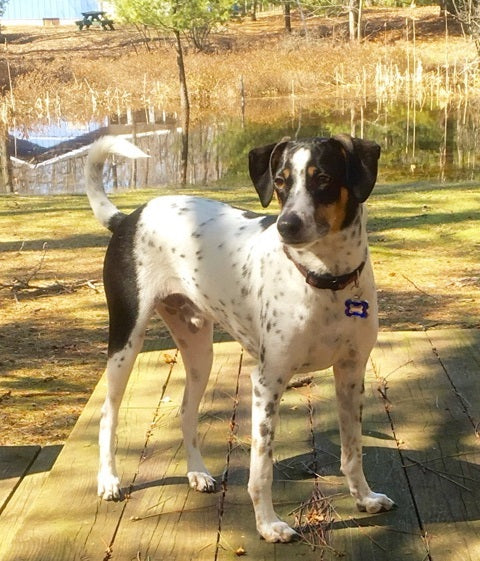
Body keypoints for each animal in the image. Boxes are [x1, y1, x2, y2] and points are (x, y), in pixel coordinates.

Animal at [86, 133, 394, 540]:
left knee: (186, 411)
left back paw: (197, 473)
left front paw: (364, 498)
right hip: (126, 341)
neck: (325, 279)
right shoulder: (267, 381)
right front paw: (268, 525)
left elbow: (352, 452)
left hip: (199, 351)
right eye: (280, 181)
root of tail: (129, 218)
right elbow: (261, 470)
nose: (286, 225)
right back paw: (108, 480)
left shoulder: (351, 374)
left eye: (324, 178)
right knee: (108, 414)